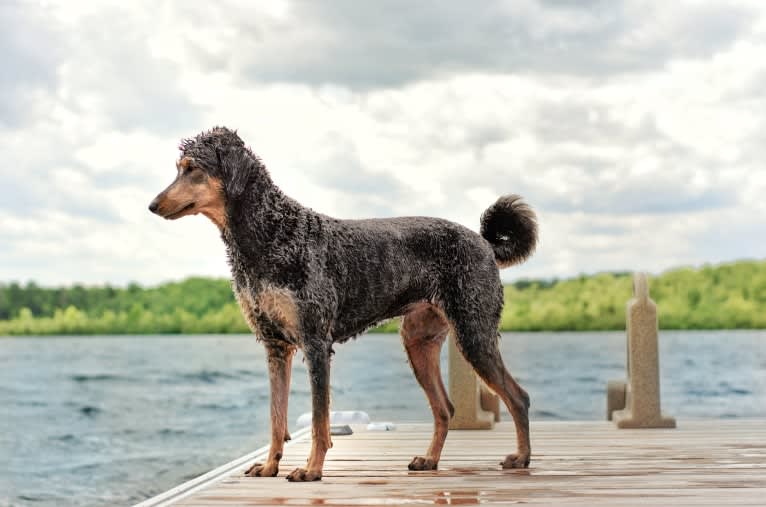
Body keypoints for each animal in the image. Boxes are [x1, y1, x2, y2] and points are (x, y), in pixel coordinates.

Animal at [150, 126, 540, 480]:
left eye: (192, 169)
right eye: (179, 168)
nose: (152, 205)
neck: (270, 233)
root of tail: (485, 243)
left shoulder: (315, 343)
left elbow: (319, 420)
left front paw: (311, 470)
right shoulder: (275, 346)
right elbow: (276, 417)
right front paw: (271, 466)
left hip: (473, 334)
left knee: (518, 397)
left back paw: (521, 458)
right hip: (419, 341)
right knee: (445, 408)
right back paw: (429, 460)